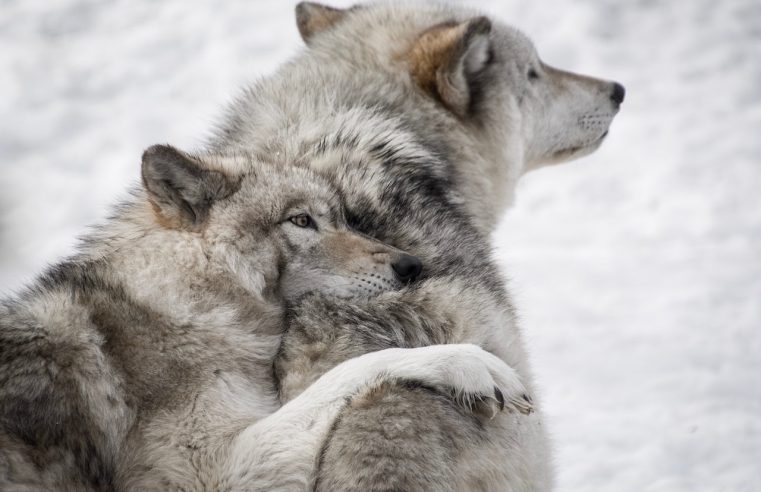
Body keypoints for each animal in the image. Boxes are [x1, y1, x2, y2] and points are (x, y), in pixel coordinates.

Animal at [0, 144, 533, 490]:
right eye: (301, 221)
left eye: (342, 218)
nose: (410, 266)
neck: (184, 301)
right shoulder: (216, 472)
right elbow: (354, 368)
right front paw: (470, 364)